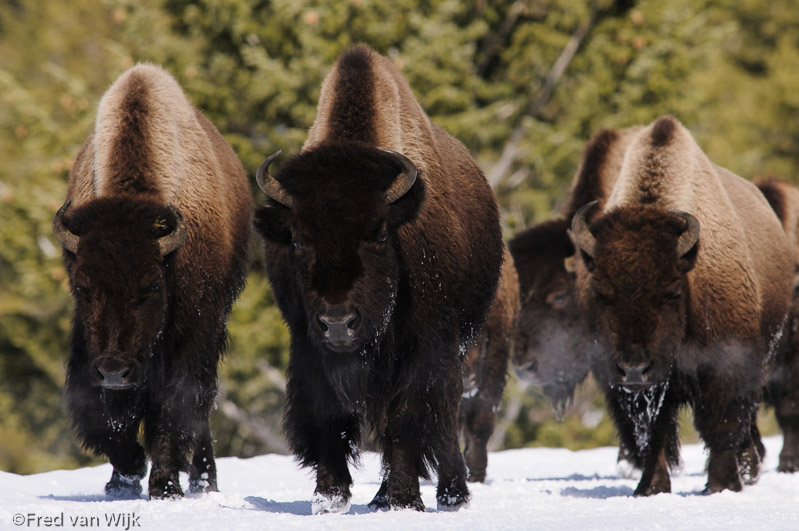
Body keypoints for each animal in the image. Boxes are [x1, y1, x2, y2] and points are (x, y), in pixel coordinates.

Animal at [52, 64, 252, 499]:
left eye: (152, 287)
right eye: (82, 288)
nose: (114, 371)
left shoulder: (194, 333)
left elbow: (176, 407)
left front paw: (164, 484)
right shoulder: (88, 345)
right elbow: (103, 414)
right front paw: (125, 474)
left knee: (199, 408)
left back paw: (203, 481)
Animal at [253, 45, 503, 513]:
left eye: (380, 235)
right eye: (297, 239)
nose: (338, 324)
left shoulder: (425, 346)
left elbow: (408, 419)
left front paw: (405, 500)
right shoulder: (307, 345)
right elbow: (328, 415)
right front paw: (329, 498)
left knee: (440, 420)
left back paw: (450, 494)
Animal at [570, 116, 792, 495]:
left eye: (672, 289)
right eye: (600, 290)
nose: (633, 368)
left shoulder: (728, 365)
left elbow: (721, 425)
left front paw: (722, 485)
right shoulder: (632, 387)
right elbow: (654, 434)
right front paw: (651, 488)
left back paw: (748, 471)